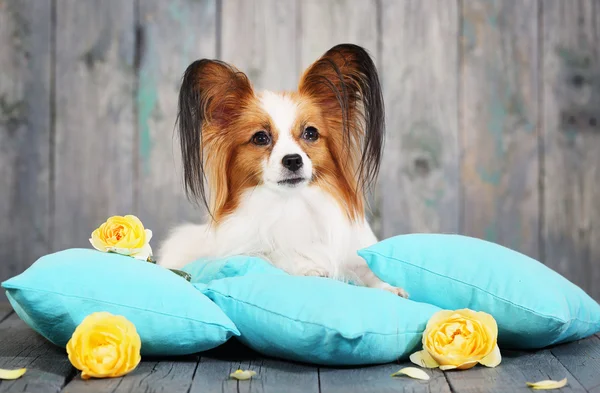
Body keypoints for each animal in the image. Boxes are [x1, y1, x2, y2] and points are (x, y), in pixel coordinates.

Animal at [156, 42, 408, 298]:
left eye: (310, 133)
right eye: (260, 138)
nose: (293, 160)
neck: (291, 205)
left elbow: (367, 270)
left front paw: (390, 287)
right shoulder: (250, 249)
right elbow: (277, 255)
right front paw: (309, 267)